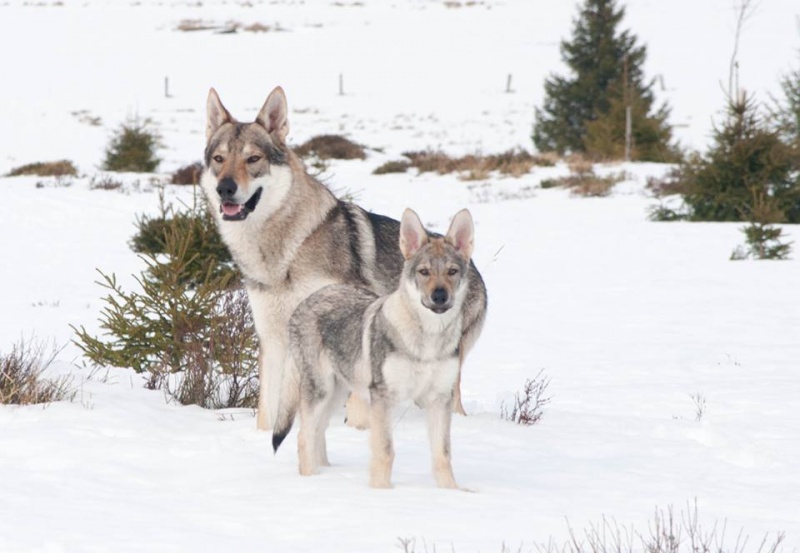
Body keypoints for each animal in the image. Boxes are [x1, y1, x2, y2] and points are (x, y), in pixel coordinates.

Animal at [200, 87, 488, 432]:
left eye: (253, 159)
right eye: (219, 160)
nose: (225, 188)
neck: (283, 252)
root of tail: (473, 266)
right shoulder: (273, 340)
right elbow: (267, 413)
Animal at [276, 208, 476, 488]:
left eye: (452, 271)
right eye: (424, 272)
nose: (439, 296)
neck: (428, 340)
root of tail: (306, 301)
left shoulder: (439, 400)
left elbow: (443, 455)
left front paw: (452, 492)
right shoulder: (383, 398)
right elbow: (385, 451)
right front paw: (381, 491)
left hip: (337, 393)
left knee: (317, 432)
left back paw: (326, 473)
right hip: (320, 391)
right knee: (303, 436)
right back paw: (312, 481)